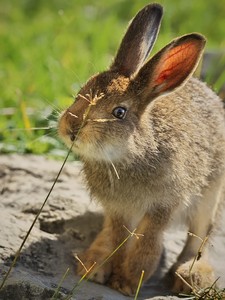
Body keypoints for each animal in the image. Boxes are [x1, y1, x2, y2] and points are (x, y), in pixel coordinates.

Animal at [58, 2, 225, 296]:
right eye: (82, 91)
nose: (71, 128)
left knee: (200, 237)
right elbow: (117, 238)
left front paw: (128, 283)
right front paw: (106, 273)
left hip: (209, 196)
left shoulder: (163, 206)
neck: (130, 153)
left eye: (119, 112)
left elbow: (147, 245)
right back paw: (92, 262)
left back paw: (190, 277)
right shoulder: (117, 210)